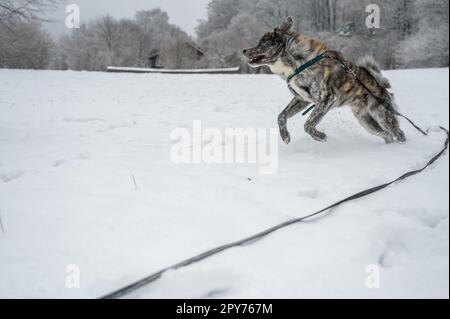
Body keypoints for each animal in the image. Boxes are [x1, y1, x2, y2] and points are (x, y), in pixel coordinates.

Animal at [244, 16, 406, 144]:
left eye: (261, 42)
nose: (244, 50)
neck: (297, 63)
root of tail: (382, 88)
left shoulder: (326, 99)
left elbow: (308, 124)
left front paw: (320, 137)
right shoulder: (301, 99)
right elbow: (281, 116)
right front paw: (285, 136)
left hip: (383, 116)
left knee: (398, 133)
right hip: (366, 121)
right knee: (387, 135)